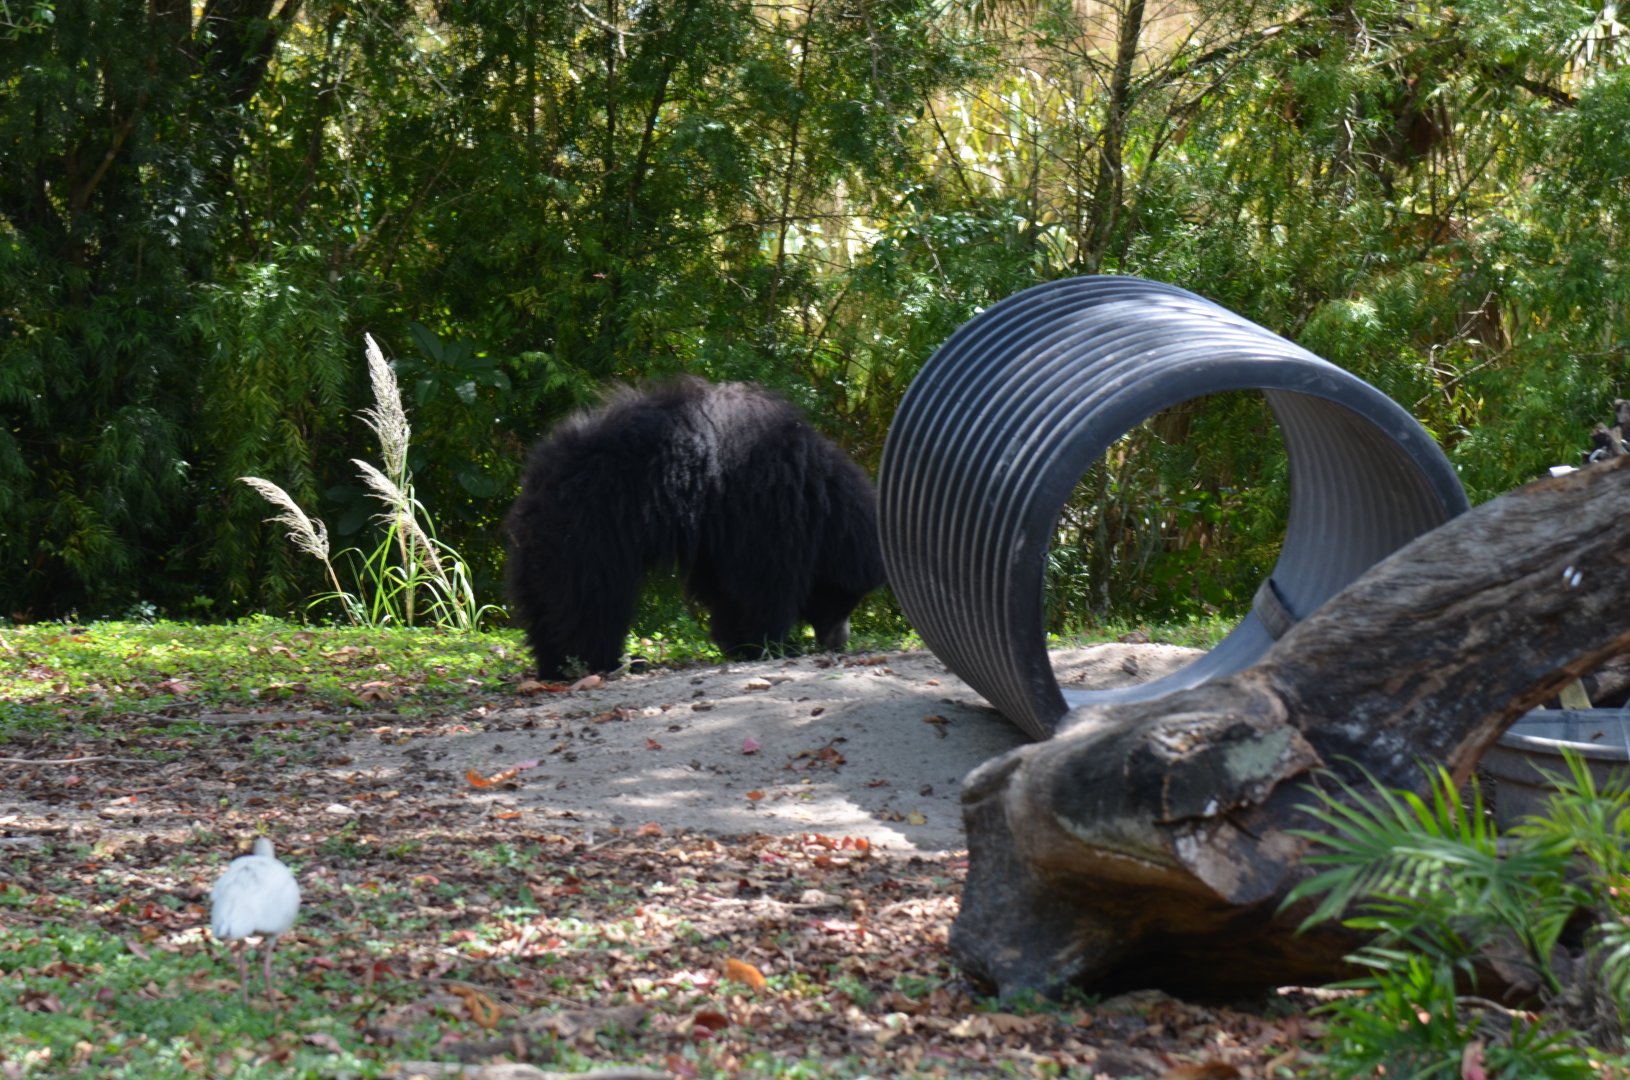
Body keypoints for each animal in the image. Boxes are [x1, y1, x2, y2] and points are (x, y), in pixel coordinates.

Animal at [503, 376, 885, 680]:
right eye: (848, 596)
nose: (840, 642)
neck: (817, 498)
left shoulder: (720, 531)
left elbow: (726, 586)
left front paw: (742, 643)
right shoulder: (762, 506)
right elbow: (760, 581)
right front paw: (771, 644)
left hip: (546, 546)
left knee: (550, 600)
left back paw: (559, 665)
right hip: (592, 531)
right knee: (591, 597)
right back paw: (602, 662)